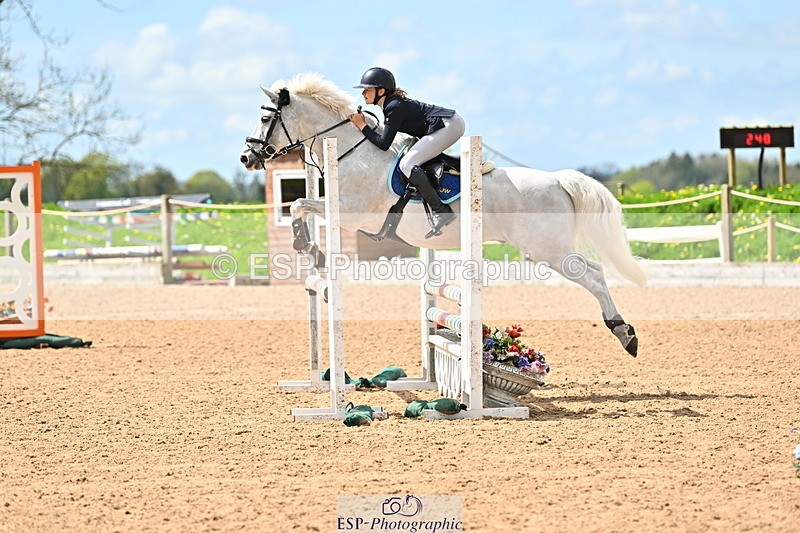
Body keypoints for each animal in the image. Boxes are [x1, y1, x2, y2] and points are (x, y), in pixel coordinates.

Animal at [239, 72, 646, 356]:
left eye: (266, 118)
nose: (247, 158)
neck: (351, 153)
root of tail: (558, 179)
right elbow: (298, 205)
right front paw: (310, 249)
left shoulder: (351, 215)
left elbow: (299, 205)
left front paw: (307, 246)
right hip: (550, 249)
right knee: (596, 272)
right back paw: (624, 331)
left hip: (547, 249)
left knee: (592, 277)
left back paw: (624, 334)